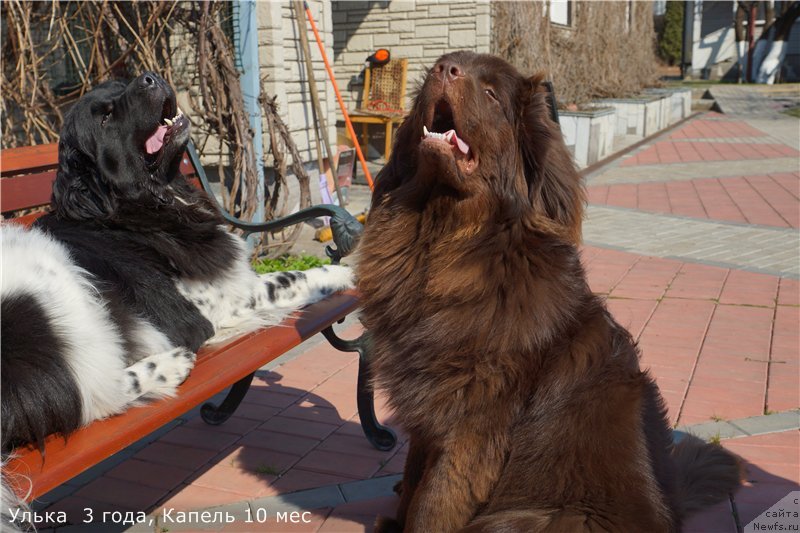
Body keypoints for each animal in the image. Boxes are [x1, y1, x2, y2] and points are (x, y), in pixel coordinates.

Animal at [0, 71, 350, 490]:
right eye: (104, 116)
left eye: (119, 84)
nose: (149, 77)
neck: (148, 203)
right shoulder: (212, 308)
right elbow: (287, 278)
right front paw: (345, 271)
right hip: (50, 306)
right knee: (89, 398)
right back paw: (167, 367)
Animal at [354, 53, 740, 532]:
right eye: (441, 68)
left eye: (490, 94)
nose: (444, 68)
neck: (445, 242)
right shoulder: (426, 415)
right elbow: (411, 481)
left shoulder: (470, 427)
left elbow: (431, 503)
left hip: (540, 517)